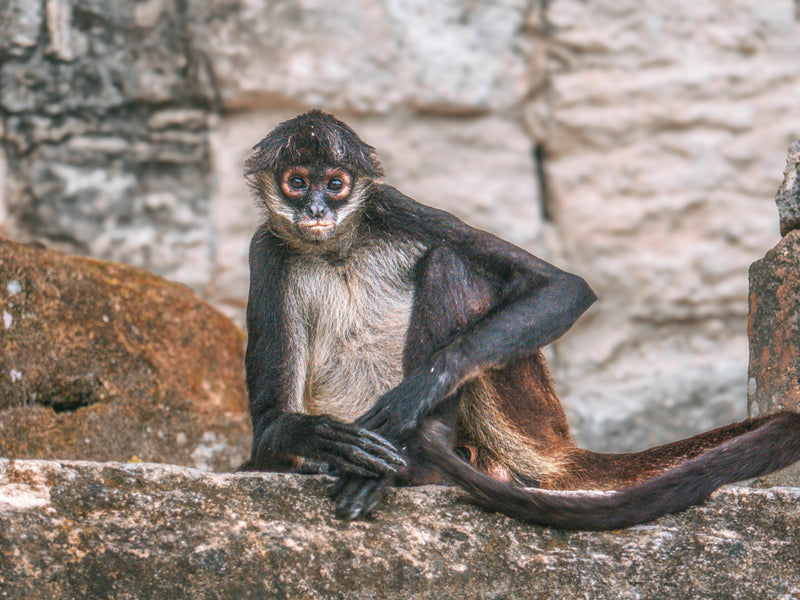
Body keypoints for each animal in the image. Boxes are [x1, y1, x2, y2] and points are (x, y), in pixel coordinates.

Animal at [240, 109, 800, 530]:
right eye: (296, 183)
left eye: (335, 185)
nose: (316, 209)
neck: (337, 249)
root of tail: (559, 447)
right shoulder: (263, 250)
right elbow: (268, 423)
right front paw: (318, 438)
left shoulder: (392, 205)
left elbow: (562, 286)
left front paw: (409, 401)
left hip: (528, 416)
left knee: (451, 259)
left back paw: (417, 460)